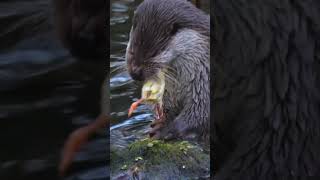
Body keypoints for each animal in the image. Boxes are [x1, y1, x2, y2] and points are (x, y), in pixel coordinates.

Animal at [125, 0, 210, 141]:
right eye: (131, 51)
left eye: (153, 53)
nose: (135, 73)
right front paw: (162, 122)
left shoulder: (204, 83)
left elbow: (199, 113)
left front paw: (166, 130)